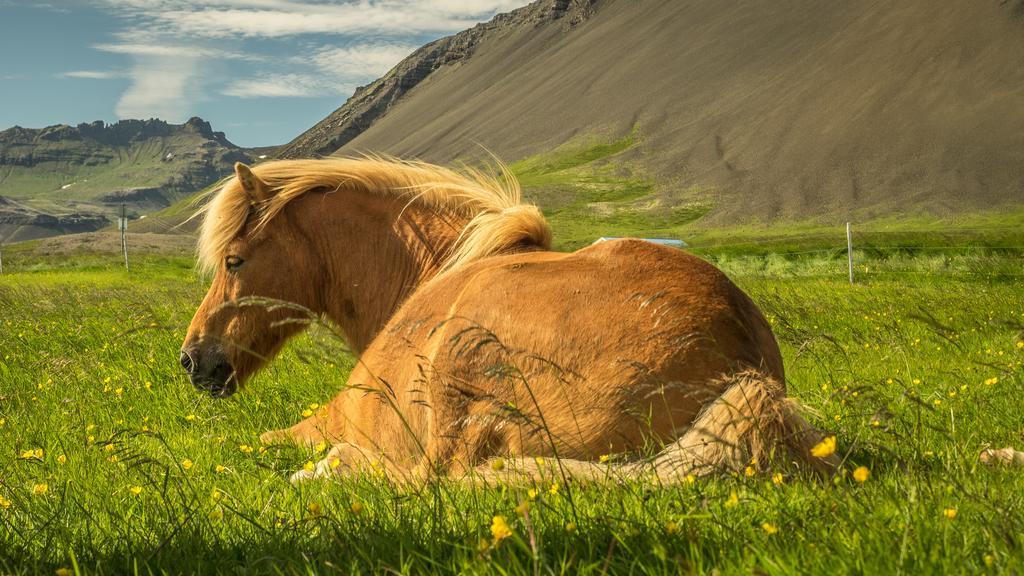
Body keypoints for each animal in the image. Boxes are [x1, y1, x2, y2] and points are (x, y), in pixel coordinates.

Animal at [182, 155, 839, 479]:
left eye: (234, 259)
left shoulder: (337, 415)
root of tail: (744, 371)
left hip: (459, 359)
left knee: (434, 478)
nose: (193, 360)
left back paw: (331, 469)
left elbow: (267, 437)